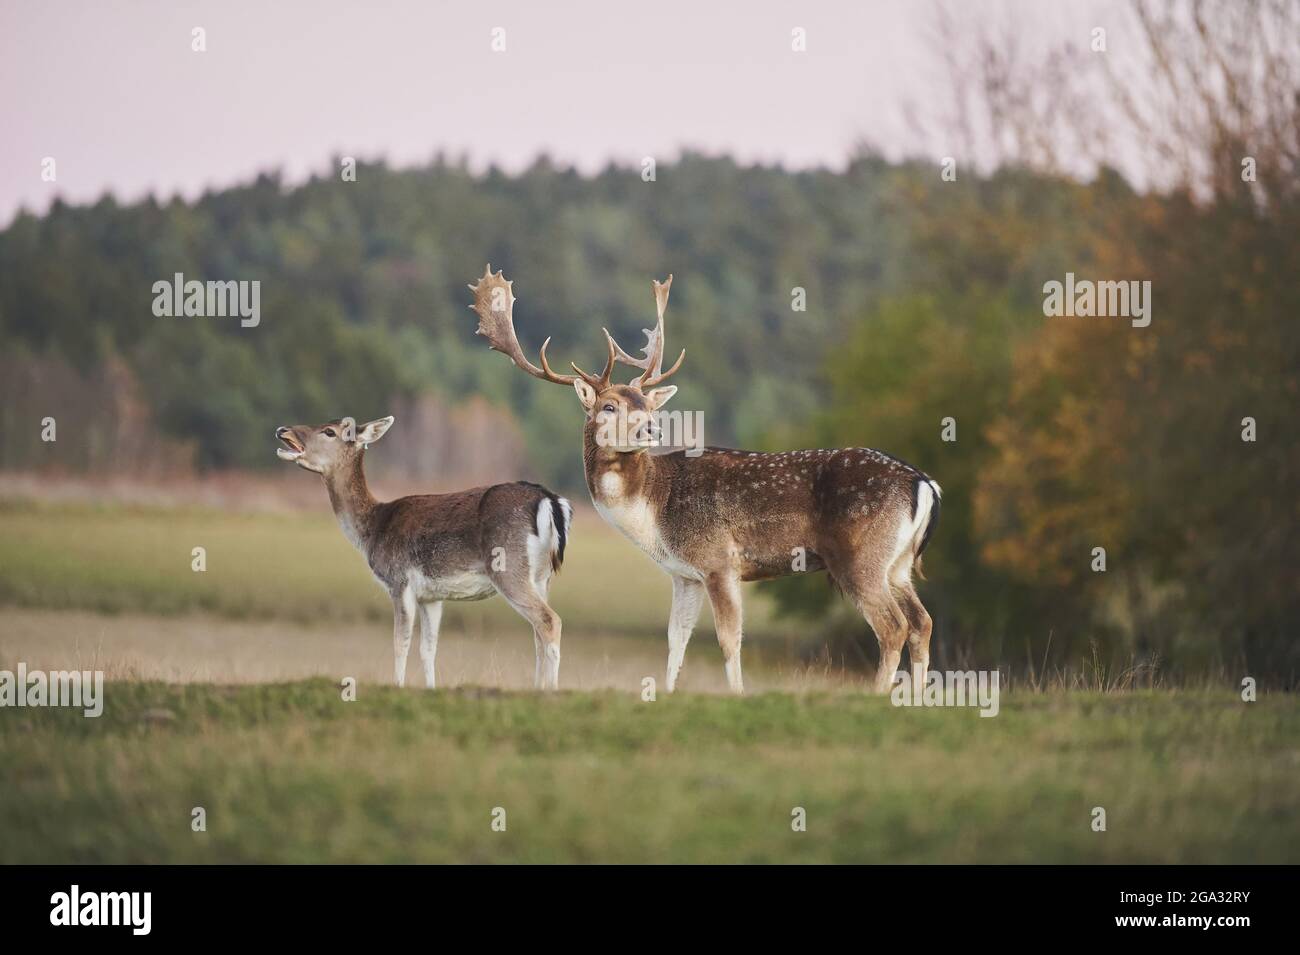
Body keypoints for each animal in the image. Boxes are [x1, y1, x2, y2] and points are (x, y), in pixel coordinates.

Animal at [275, 414, 573, 690]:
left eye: (330, 431)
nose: (282, 429)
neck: (372, 529)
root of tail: (550, 501)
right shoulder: (432, 596)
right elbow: (428, 649)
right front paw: (431, 688)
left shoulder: (400, 580)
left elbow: (400, 643)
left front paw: (397, 686)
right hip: (542, 577)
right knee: (537, 632)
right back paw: (537, 688)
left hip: (508, 567)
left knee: (550, 621)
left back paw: (551, 690)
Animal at [469, 265, 940, 695]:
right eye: (608, 406)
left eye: (646, 405)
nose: (651, 428)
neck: (653, 513)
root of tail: (924, 485)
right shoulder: (685, 575)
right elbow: (675, 641)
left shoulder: (719, 561)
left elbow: (729, 641)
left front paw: (737, 695)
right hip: (898, 564)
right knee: (922, 621)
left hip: (861, 556)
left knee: (893, 626)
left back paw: (878, 697)